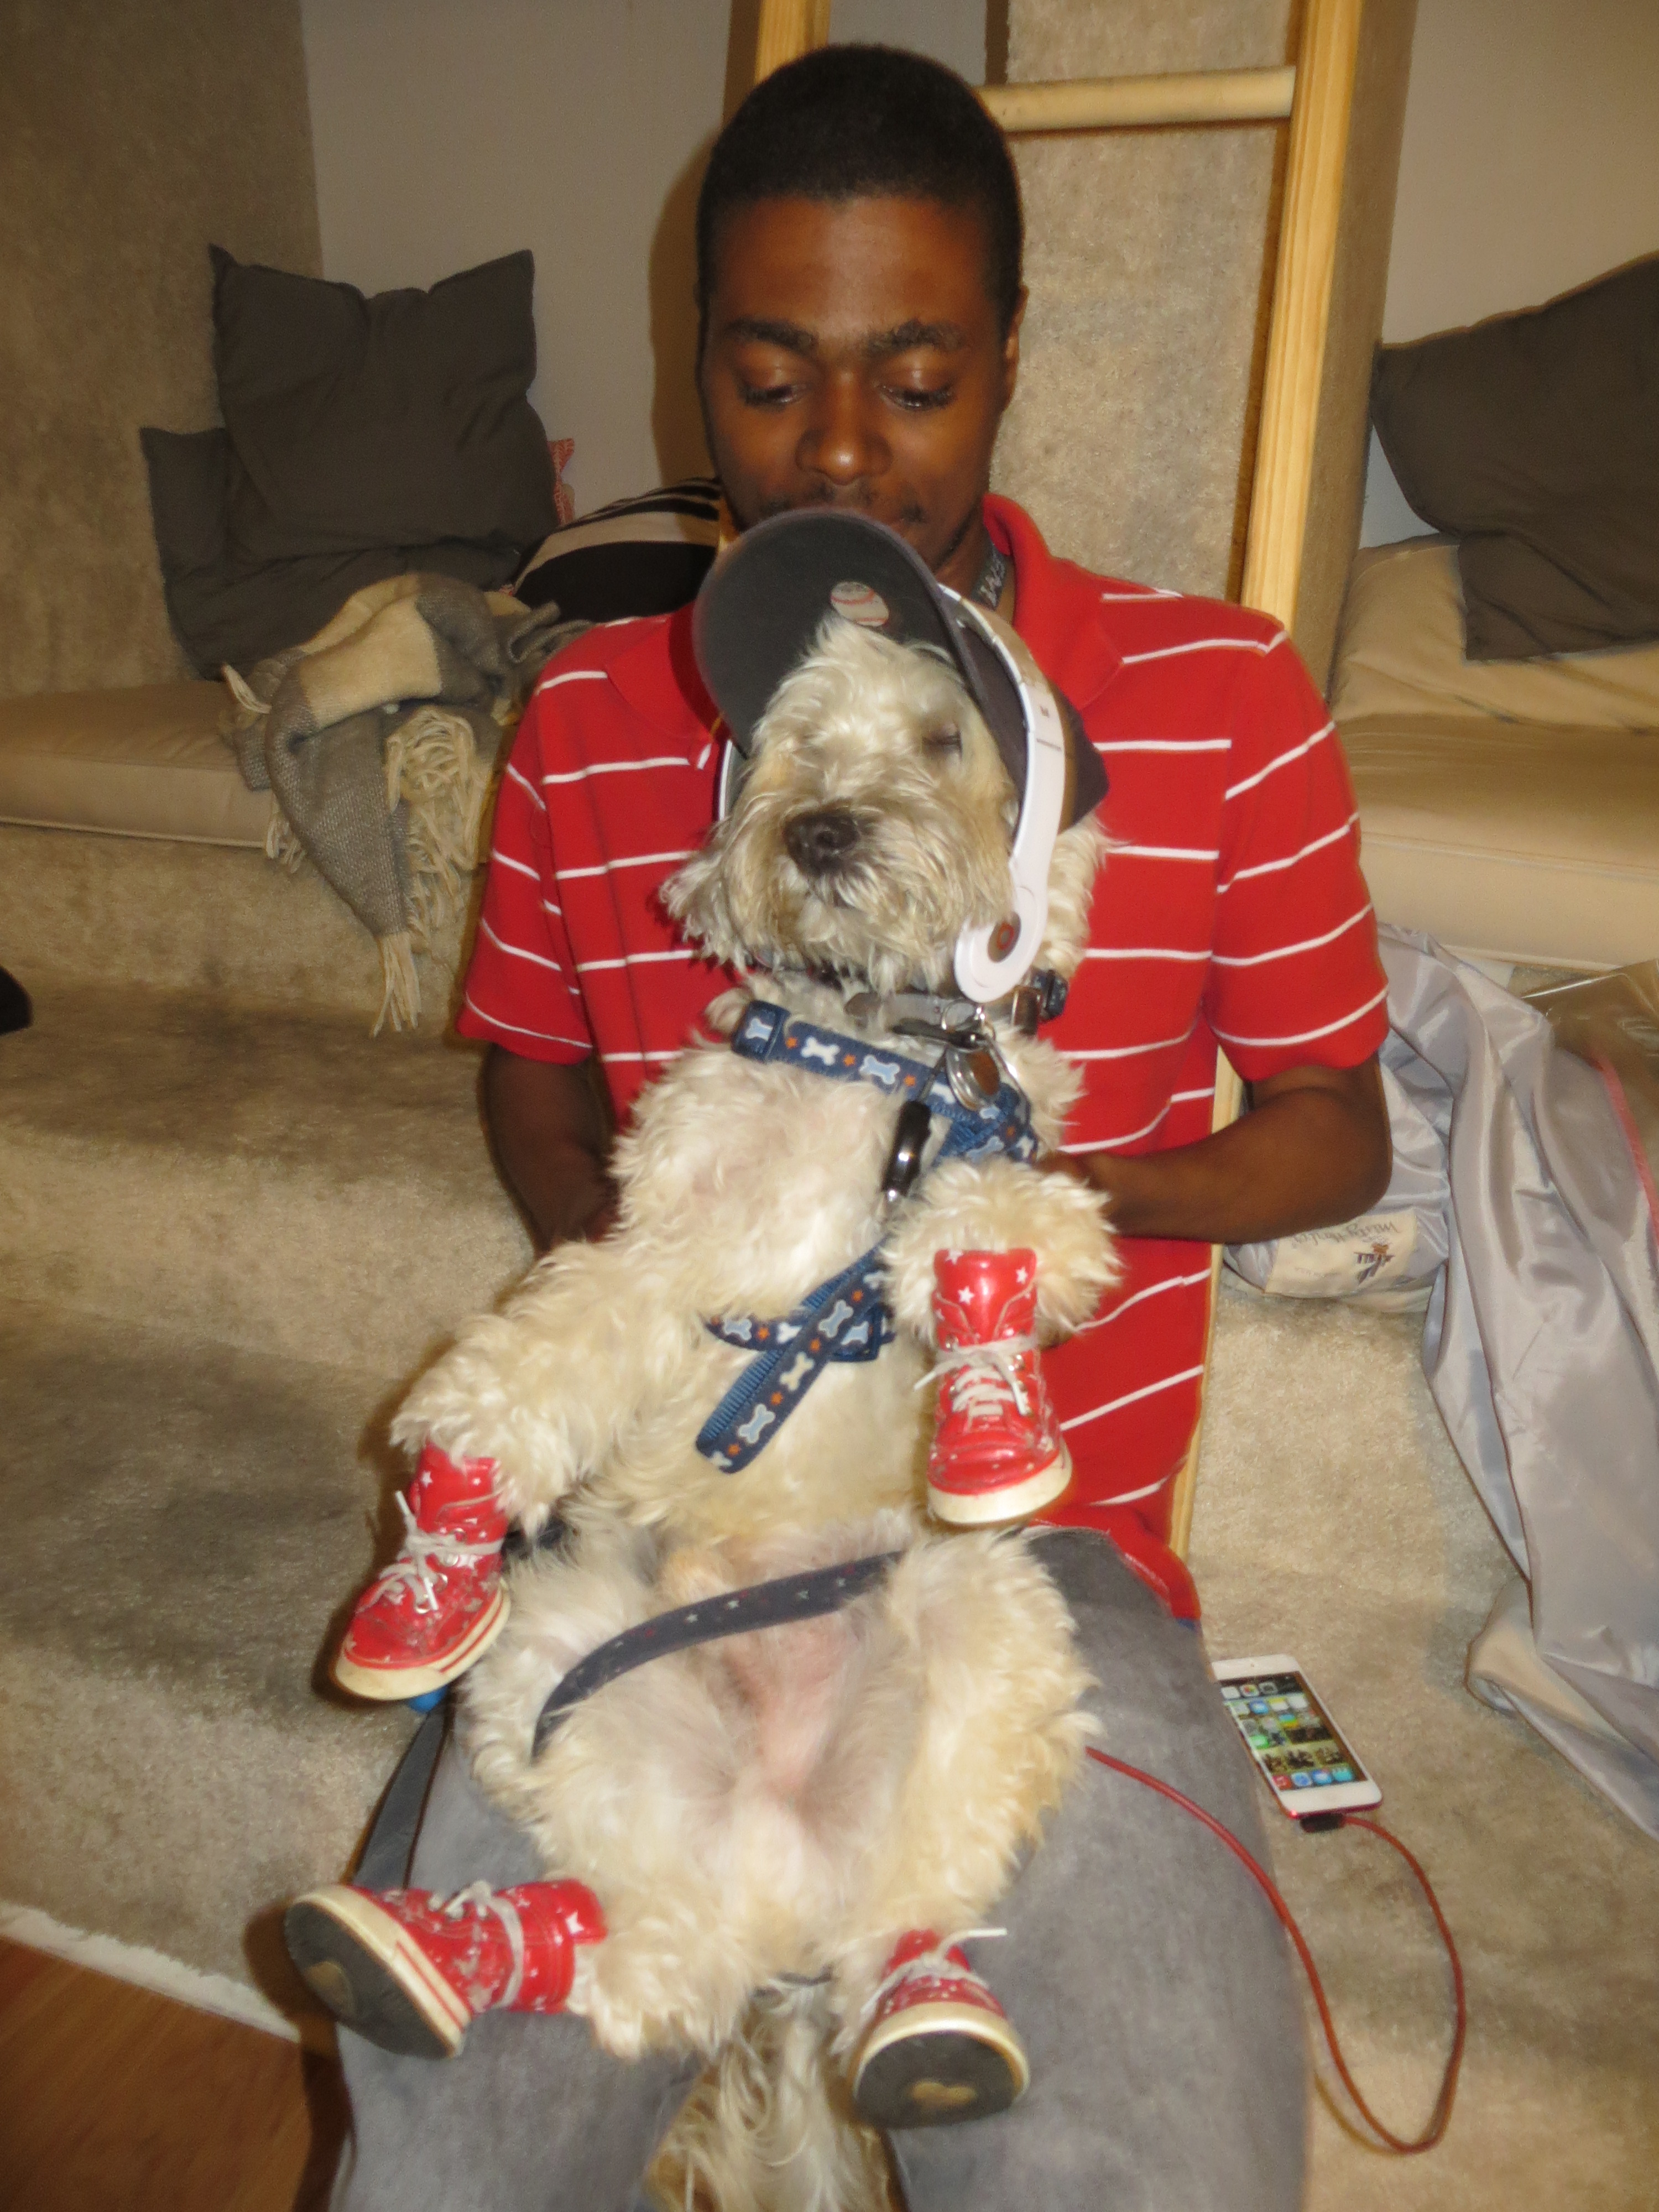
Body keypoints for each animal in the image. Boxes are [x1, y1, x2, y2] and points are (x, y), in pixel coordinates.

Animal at [388, 609, 1114, 2206]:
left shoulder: (1004, 1149)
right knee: (662, 1955)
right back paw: (447, 1954)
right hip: (559, 1659)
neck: (872, 1057)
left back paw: (924, 2018)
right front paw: (444, 1509)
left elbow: (994, 1221)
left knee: (905, 1908)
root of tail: (784, 1890)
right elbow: (548, 1349)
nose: (822, 828)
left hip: (980, 1628)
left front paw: (988, 1401)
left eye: (944, 734)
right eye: (793, 735)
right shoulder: (663, 1251)